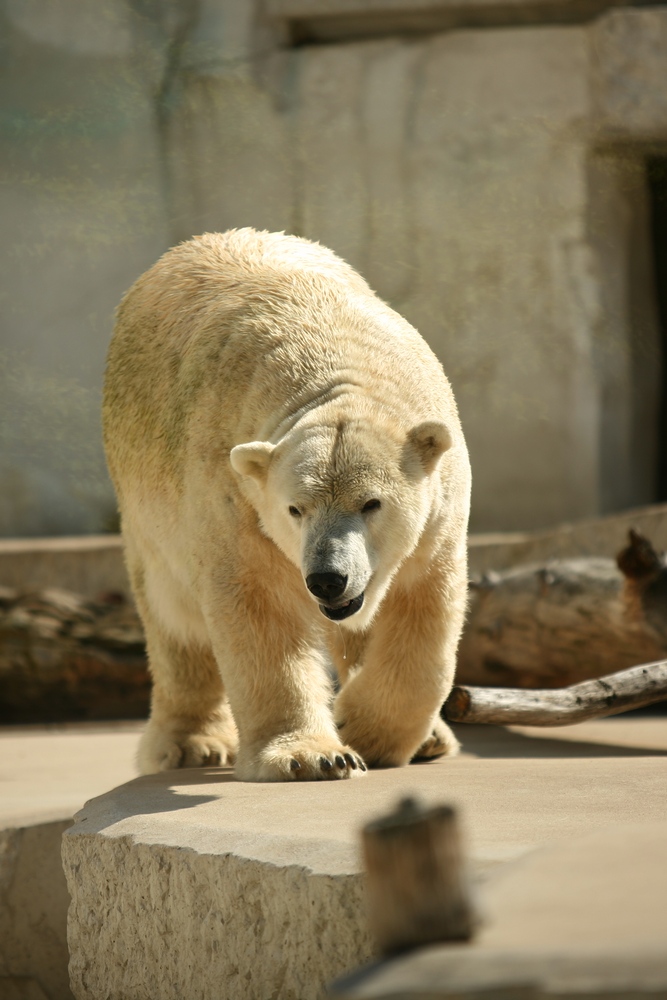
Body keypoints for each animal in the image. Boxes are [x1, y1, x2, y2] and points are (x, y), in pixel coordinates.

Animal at [103, 229, 470, 780]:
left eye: (372, 503)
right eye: (295, 509)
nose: (327, 578)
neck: (334, 358)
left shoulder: (439, 514)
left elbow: (423, 605)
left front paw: (365, 729)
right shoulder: (232, 490)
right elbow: (258, 606)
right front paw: (315, 753)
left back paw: (431, 738)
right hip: (143, 491)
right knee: (174, 613)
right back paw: (191, 744)